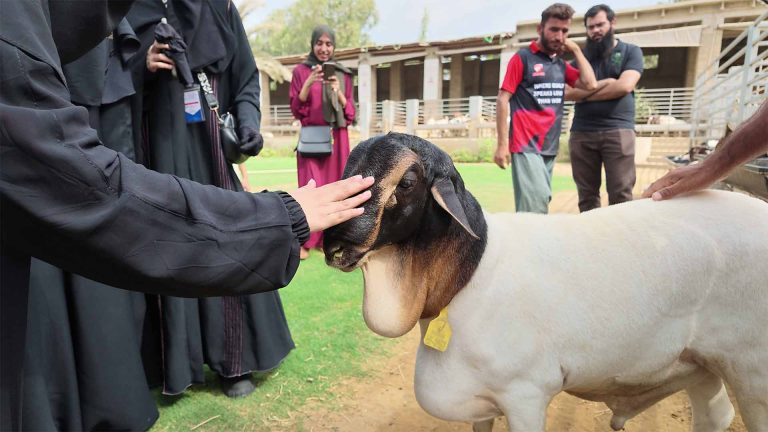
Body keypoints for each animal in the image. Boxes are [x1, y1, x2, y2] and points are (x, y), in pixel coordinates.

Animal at [323, 133, 768, 432]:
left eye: (408, 181)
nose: (334, 245)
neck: (471, 274)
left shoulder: (527, 395)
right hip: (703, 364)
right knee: (716, 415)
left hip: (752, 372)